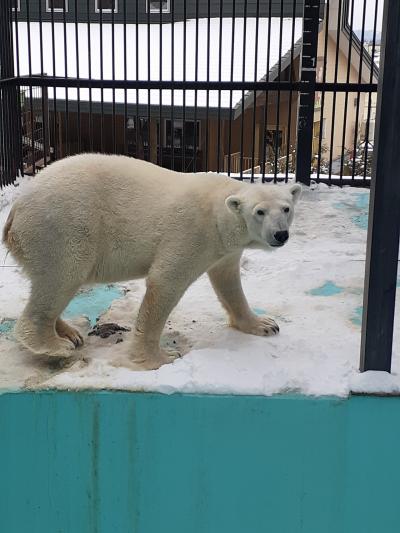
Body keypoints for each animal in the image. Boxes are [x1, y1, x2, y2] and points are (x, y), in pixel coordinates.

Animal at [1, 154, 300, 370]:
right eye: (260, 211)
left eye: (286, 208)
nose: (280, 234)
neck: (217, 213)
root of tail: (16, 209)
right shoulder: (192, 232)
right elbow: (165, 282)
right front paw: (160, 357)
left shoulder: (224, 249)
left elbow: (229, 283)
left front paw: (265, 324)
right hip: (63, 226)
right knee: (63, 276)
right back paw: (54, 344)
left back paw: (69, 333)